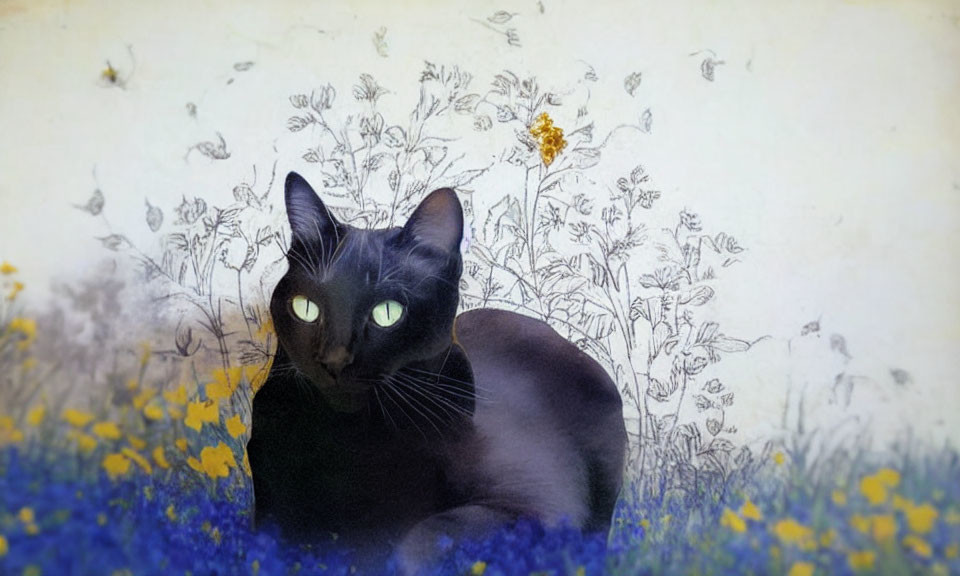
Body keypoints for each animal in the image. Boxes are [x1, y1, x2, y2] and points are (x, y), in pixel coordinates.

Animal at [244, 173, 628, 572]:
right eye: (306, 308)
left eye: (387, 313)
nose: (334, 358)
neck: (350, 438)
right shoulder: (271, 504)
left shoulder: (540, 504)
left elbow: (424, 535)